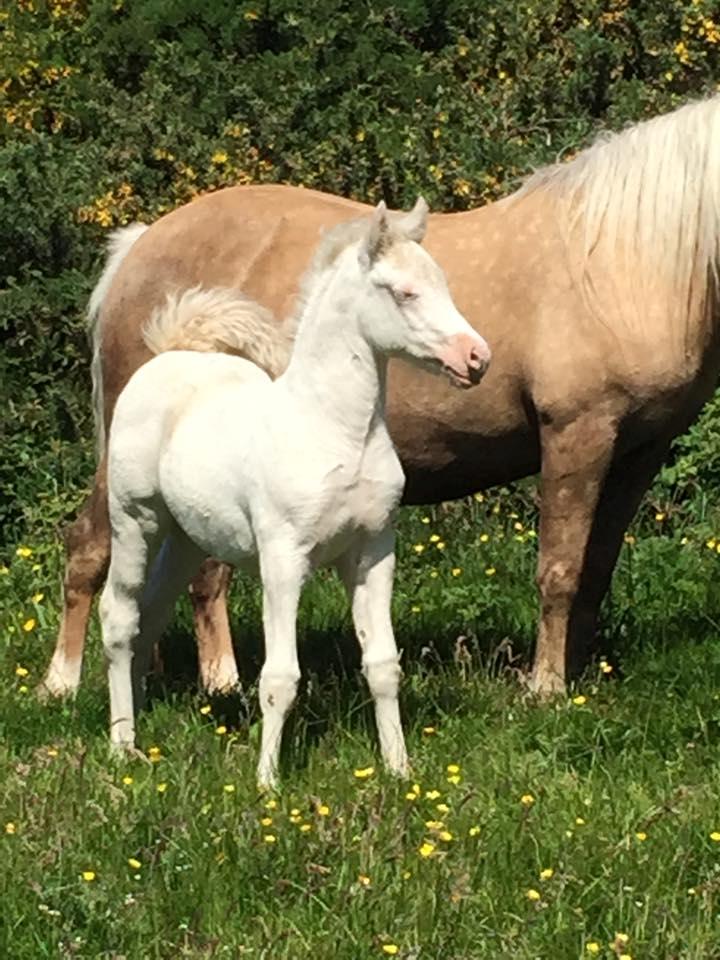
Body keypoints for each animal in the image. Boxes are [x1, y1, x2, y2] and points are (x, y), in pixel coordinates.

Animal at [43, 95, 720, 696]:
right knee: (98, 549)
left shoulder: (638, 450)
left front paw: (576, 675)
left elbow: (596, 567)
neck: (618, 263)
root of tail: (138, 247)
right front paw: (546, 688)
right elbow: (559, 568)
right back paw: (75, 683)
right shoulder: (575, 433)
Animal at [100, 197, 490, 788]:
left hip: (186, 538)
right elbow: (279, 677)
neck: (335, 428)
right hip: (134, 521)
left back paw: (140, 726)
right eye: (403, 292)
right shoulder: (283, 558)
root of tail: (170, 352)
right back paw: (123, 746)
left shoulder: (373, 551)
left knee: (151, 615)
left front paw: (399, 770)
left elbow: (383, 665)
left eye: (442, 283)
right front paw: (267, 783)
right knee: (120, 619)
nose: (476, 357)